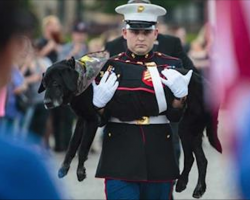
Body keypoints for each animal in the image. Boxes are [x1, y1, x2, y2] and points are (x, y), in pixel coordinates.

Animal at [39, 56, 223, 198]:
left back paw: (184, 183)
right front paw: (64, 167)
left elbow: (83, 148)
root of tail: (206, 83)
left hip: (186, 129)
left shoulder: (92, 120)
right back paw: (197, 188)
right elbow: (72, 146)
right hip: (193, 131)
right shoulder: (82, 120)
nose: (46, 103)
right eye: (45, 84)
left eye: (56, 83)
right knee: (202, 160)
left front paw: (80, 171)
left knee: (191, 158)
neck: (84, 77)